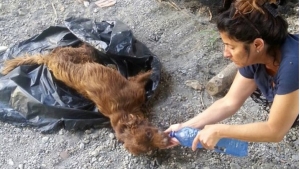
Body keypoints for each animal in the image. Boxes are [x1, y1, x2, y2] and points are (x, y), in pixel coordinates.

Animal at [0, 44, 169, 156]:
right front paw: (152, 69)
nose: (166, 141)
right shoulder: (135, 86)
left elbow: (146, 73)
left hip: (77, 54)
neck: (122, 111)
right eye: (149, 137)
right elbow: (145, 74)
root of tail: (48, 59)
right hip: (82, 54)